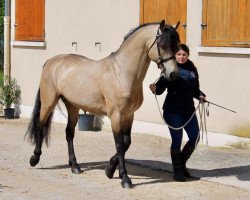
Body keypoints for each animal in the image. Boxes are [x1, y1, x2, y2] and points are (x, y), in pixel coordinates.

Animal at [25, 19, 180, 188]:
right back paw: (34, 159)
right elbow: (120, 145)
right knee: (40, 124)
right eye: (163, 45)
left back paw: (75, 166)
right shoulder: (115, 115)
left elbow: (127, 142)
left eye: (177, 45)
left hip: (72, 106)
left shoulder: (129, 115)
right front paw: (125, 178)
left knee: (69, 133)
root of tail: (51, 61)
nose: (173, 74)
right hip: (49, 102)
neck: (121, 73)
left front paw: (110, 170)